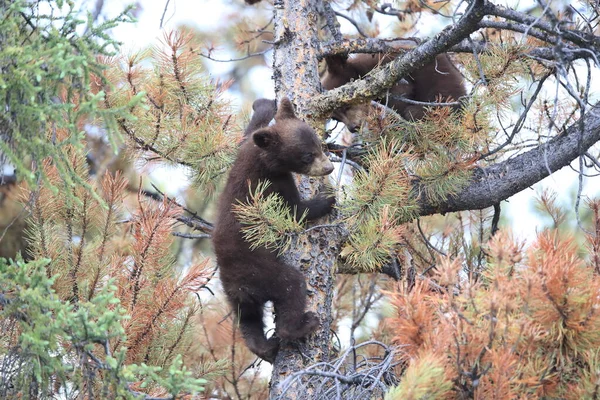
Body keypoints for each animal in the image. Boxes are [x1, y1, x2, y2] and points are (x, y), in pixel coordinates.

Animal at [211, 97, 336, 362]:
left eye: (319, 145)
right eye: (307, 156)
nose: (329, 168)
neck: (260, 158)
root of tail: (240, 287)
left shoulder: (245, 147)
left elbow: (248, 131)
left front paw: (265, 105)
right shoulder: (272, 183)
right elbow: (294, 211)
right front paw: (326, 198)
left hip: (236, 299)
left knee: (249, 322)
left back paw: (266, 348)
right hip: (263, 273)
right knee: (292, 286)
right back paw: (303, 324)